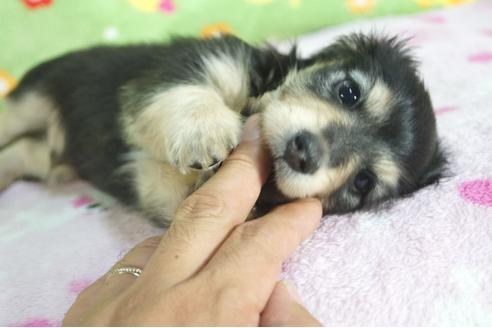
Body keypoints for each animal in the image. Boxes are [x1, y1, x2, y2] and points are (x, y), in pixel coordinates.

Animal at [0, 34, 444, 227]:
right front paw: (204, 130)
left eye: (363, 183)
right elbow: (188, 92)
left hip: (41, 155)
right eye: (348, 91)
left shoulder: (159, 191)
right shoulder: (203, 61)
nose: (303, 152)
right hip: (31, 100)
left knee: (21, 153)